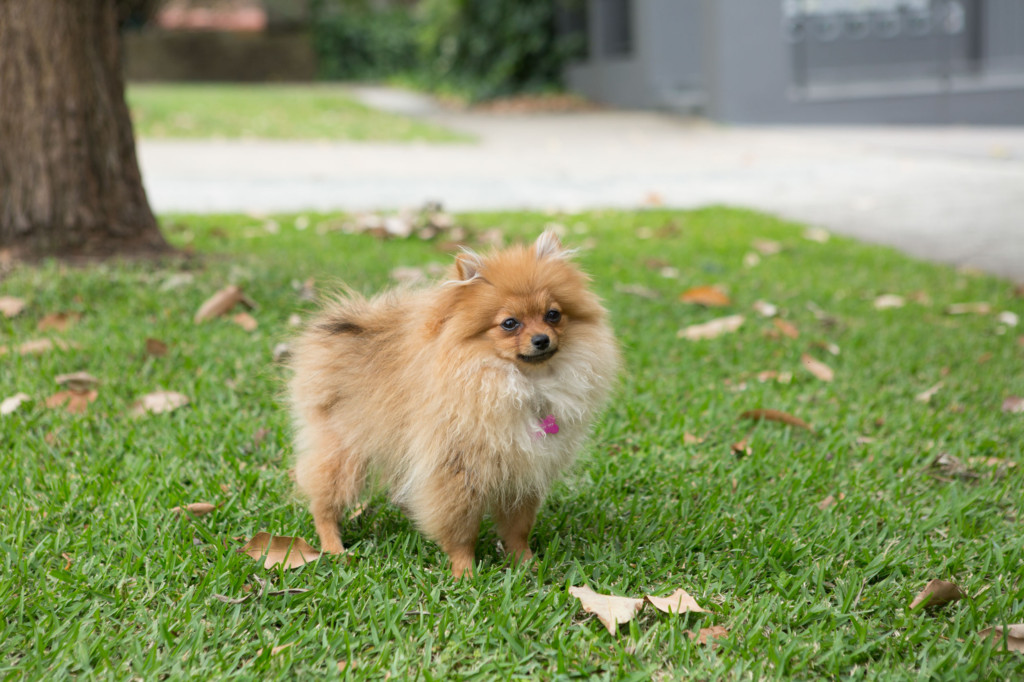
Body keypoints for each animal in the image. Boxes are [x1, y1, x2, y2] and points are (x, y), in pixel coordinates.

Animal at [292, 231, 618, 577]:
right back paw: (332, 546)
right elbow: (461, 530)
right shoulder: (457, 471)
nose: (542, 339)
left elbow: (517, 527)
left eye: (553, 315)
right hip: (343, 450)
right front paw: (465, 572)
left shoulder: (523, 470)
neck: (524, 384)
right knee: (323, 501)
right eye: (509, 323)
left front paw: (525, 562)